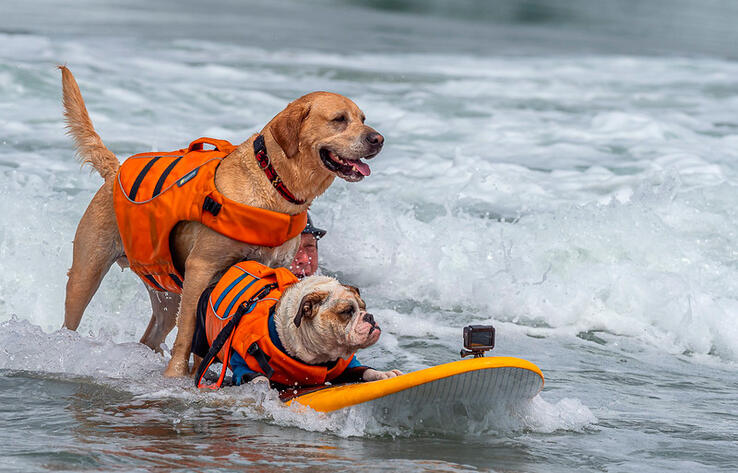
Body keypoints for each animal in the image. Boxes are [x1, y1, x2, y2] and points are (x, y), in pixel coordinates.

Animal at [58, 65, 382, 376]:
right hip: (87, 273)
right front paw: (177, 376)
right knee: (70, 320)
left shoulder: (272, 268)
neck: (273, 181)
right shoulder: (201, 269)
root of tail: (115, 171)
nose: (378, 139)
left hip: (168, 292)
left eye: (363, 118)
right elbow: (188, 334)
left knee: (151, 335)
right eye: (339, 119)